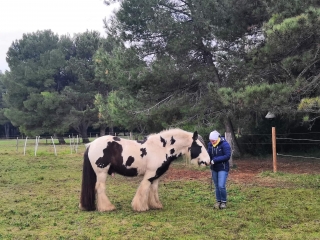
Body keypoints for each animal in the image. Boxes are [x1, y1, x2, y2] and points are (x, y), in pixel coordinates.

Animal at [79, 128, 211, 211]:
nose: (209, 161)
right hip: (101, 172)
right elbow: (144, 188)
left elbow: (153, 190)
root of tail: (91, 144)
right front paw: (140, 207)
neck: (161, 148)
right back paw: (107, 207)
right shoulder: (150, 174)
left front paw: (155, 205)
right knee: (100, 188)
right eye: (199, 146)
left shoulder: (156, 176)